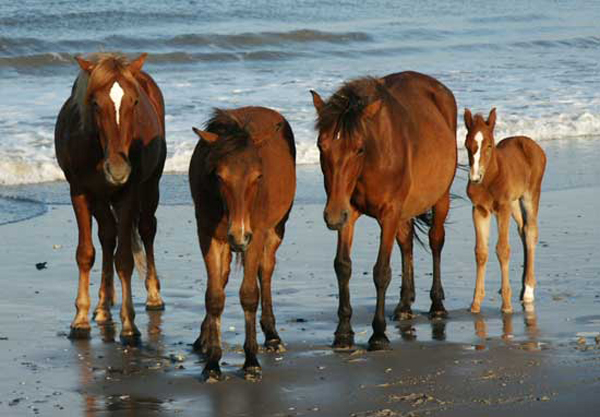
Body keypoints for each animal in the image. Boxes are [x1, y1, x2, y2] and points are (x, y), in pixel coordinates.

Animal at [54, 53, 166, 342]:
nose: (117, 169)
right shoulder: (80, 192)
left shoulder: (128, 193)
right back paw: (103, 306)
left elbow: (124, 259)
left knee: (147, 229)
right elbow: (86, 253)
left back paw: (153, 295)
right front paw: (80, 319)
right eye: (94, 103)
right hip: (101, 199)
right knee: (107, 235)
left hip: (150, 185)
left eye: (135, 101)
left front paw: (129, 324)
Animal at [189, 105, 296, 378]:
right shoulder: (207, 235)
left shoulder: (255, 235)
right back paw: (203, 339)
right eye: (219, 176)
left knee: (265, 270)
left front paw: (251, 361)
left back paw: (272, 336)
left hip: (275, 229)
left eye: (258, 176)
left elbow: (249, 294)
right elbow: (214, 296)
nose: (238, 235)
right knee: (224, 275)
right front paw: (213, 363)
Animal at [312, 72, 458, 352]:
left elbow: (381, 271)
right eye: (320, 146)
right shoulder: (348, 212)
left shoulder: (388, 214)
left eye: (358, 148)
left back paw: (436, 305)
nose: (332, 216)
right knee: (406, 243)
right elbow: (342, 266)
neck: (373, 158)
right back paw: (404, 305)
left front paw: (378, 334)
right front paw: (343, 333)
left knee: (436, 240)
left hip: (440, 197)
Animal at [464, 108, 548, 312]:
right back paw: (522, 287)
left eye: (489, 145)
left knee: (531, 231)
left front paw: (506, 305)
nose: (475, 177)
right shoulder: (479, 210)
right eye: (467, 144)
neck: (490, 179)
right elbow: (481, 252)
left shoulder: (502, 208)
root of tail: (531, 143)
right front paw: (475, 303)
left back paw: (528, 291)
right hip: (515, 203)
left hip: (530, 195)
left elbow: (502, 249)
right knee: (522, 230)